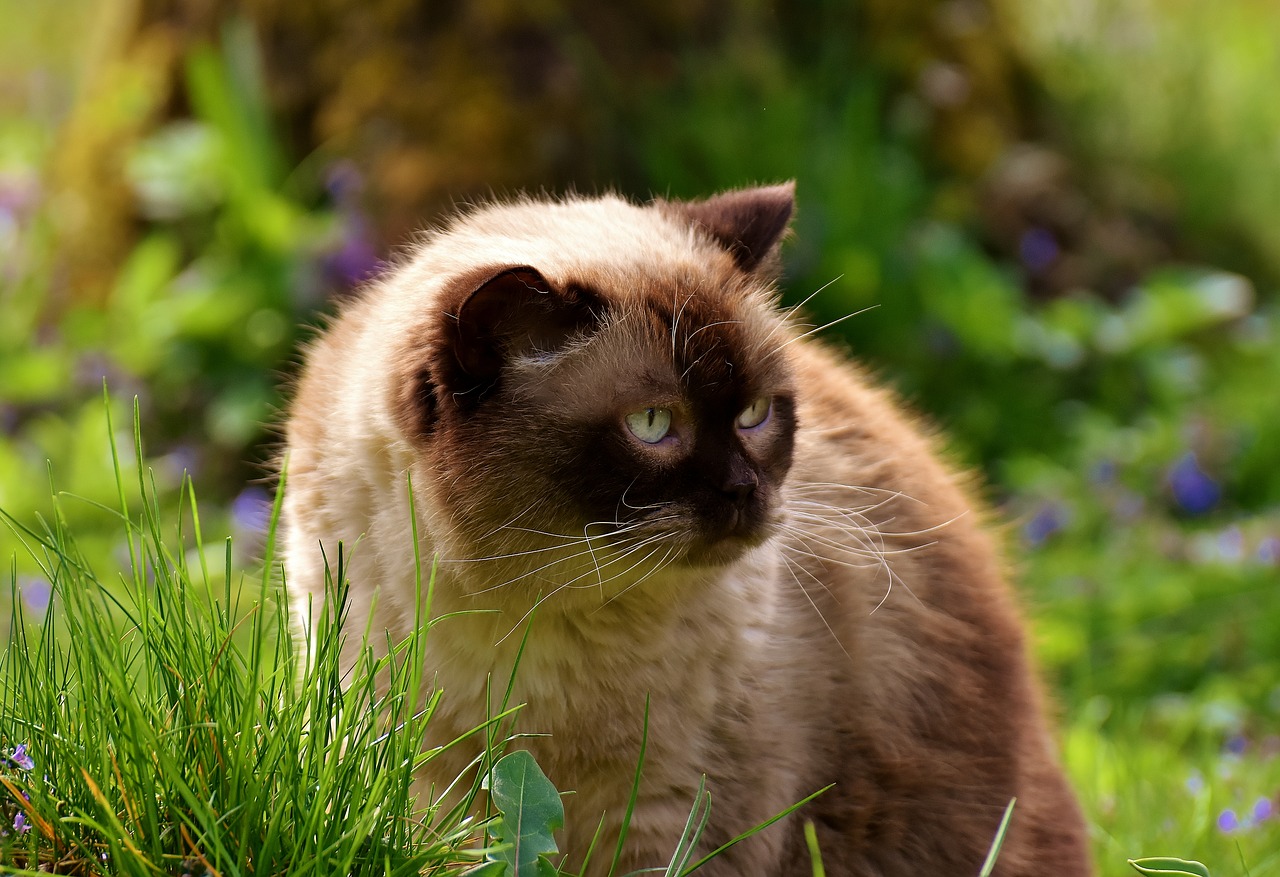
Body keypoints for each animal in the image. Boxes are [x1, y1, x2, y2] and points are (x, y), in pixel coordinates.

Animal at [285, 184, 1095, 875]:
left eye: (756, 414)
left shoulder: (675, 817)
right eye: (653, 425)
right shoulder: (431, 788)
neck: (527, 623)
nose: (746, 491)